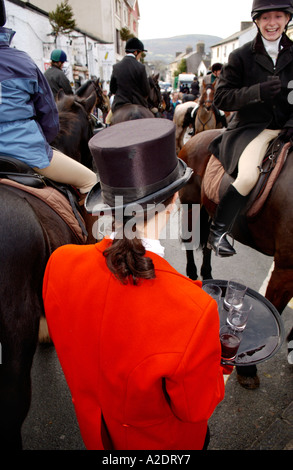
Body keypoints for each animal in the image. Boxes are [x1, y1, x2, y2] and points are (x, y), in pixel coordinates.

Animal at [177, 127, 292, 316]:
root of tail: (196, 137)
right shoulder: (285, 270)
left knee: (209, 241)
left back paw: (208, 274)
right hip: (190, 204)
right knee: (189, 240)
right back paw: (192, 272)